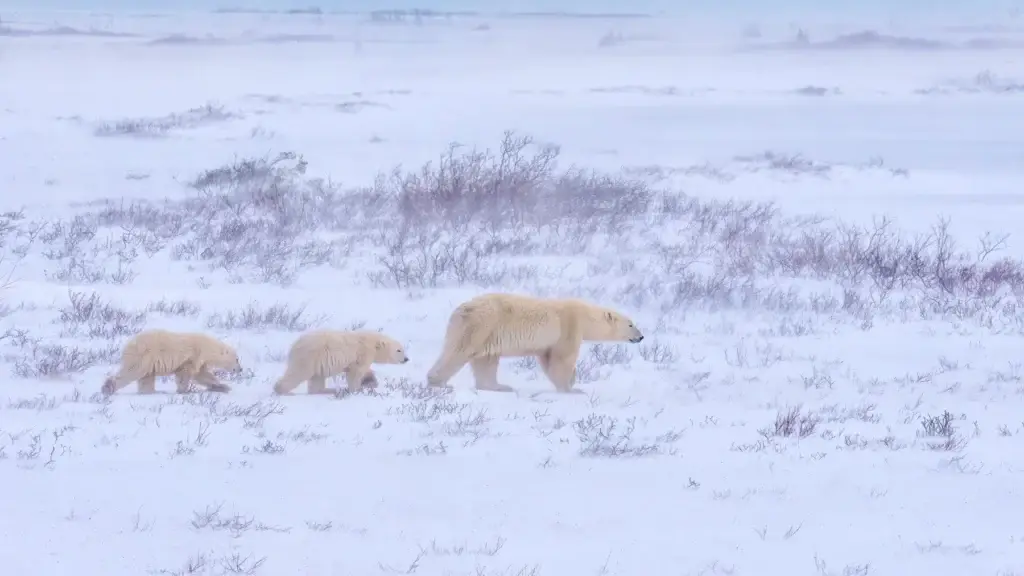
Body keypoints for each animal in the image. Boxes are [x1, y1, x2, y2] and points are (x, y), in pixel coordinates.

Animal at [101, 329, 243, 396]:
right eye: (237, 359)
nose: (240, 369)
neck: (207, 347)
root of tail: (129, 344)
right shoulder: (193, 356)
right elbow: (185, 374)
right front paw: (184, 390)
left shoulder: (200, 361)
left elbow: (202, 375)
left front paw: (222, 387)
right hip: (144, 355)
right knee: (132, 372)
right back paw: (108, 387)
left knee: (146, 377)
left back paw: (152, 392)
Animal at [272, 329, 410, 395]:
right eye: (399, 350)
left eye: (402, 348)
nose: (406, 359)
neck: (373, 343)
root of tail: (295, 345)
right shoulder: (362, 353)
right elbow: (356, 372)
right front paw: (356, 389)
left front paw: (370, 381)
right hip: (310, 356)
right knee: (298, 373)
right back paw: (283, 391)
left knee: (317, 380)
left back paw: (330, 390)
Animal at [426, 292, 644, 394]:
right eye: (631, 324)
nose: (641, 337)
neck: (585, 316)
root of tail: (460, 310)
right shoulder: (568, 326)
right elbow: (562, 359)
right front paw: (572, 388)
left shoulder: (548, 343)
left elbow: (548, 359)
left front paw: (572, 383)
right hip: (482, 324)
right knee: (460, 351)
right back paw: (439, 382)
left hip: (489, 333)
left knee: (485, 360)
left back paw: (499, 386)